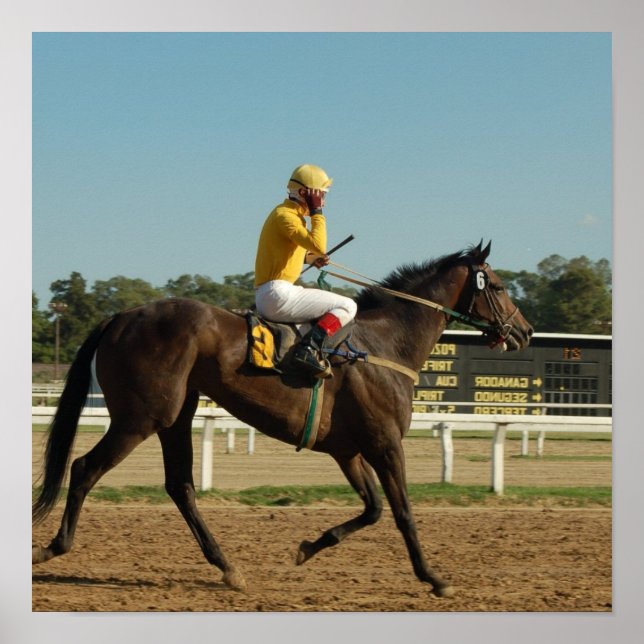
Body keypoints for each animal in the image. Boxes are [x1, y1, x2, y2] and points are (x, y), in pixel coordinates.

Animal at [32, 241, 533, 598]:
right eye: (500, 286)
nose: (525, 332)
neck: (385, 345)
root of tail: (121, 316)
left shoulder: (348, 450)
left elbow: (372, 509)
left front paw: (307, 548)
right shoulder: (386, 443)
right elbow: (403, 512)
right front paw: (434, 577)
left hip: (175, 415)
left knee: (180, 486)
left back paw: (228, 568)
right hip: (141, 416)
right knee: (85, 468)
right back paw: (53, 548)